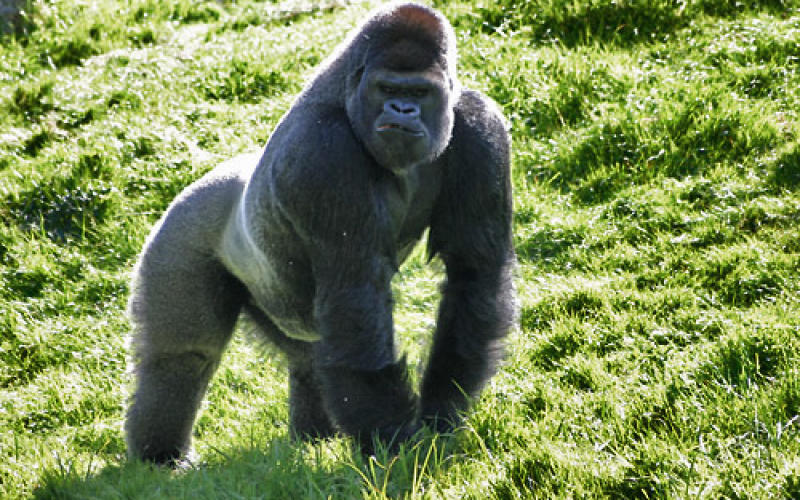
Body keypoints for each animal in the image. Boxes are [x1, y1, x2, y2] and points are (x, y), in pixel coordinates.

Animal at [125, 0, 512, 464]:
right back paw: (161, 456)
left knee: (309, 359)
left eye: (420, 93)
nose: (402, 110)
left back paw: (313, 438)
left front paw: (442, 411)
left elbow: (473, 273)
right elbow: (356, 296)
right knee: (183, 358)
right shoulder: (325, 154)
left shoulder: (481, 125)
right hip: (180, 231)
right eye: (387, 88)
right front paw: (393, 440)